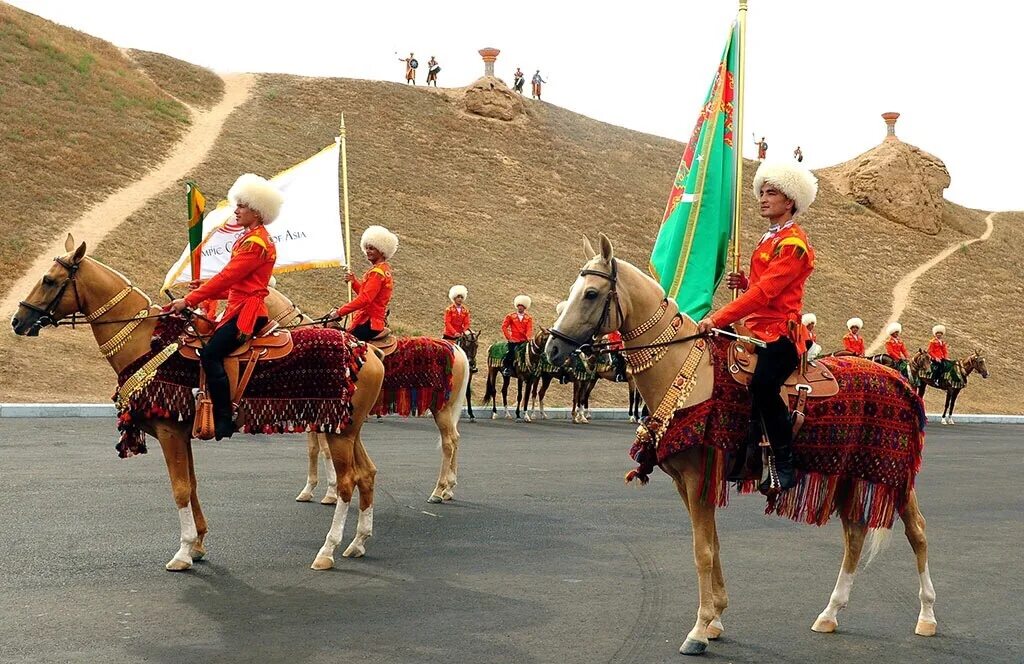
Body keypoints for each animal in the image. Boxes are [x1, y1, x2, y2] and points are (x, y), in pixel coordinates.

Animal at [12, 235, 385, 573]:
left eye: (49, 280)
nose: (18, 321)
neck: (147, 341)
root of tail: (367, 351)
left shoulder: (169, 433)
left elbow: (179, 489)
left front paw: (183, 552)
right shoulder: (181, 433)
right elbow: (191, 485)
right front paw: (199, 545)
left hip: (338, 433)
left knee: (348, 483)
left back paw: (328, 550)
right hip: (348, 429)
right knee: (366, 474)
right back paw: (358, 543)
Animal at [262, 288, 473, 504]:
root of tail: (456, 349)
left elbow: (326, 451)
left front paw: (331, 493)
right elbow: (313, 449)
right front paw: (308, 490)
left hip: (442, 409)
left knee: (448, 443)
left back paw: (438, 491)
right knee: (455, 439)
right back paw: (449, 489)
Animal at [544, 235, 937, 655]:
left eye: (590, 293)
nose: (552, 349)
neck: (686, 370)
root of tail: (902, 381)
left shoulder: (698, 476)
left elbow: (701, 551)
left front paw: (699, 630)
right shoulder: (686, 482)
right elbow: (713, 546)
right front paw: (716, 618)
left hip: (894, 475)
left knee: (917, 532)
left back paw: (927, 616)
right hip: (852, 471)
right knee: (855, 534)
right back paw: (830, 613)